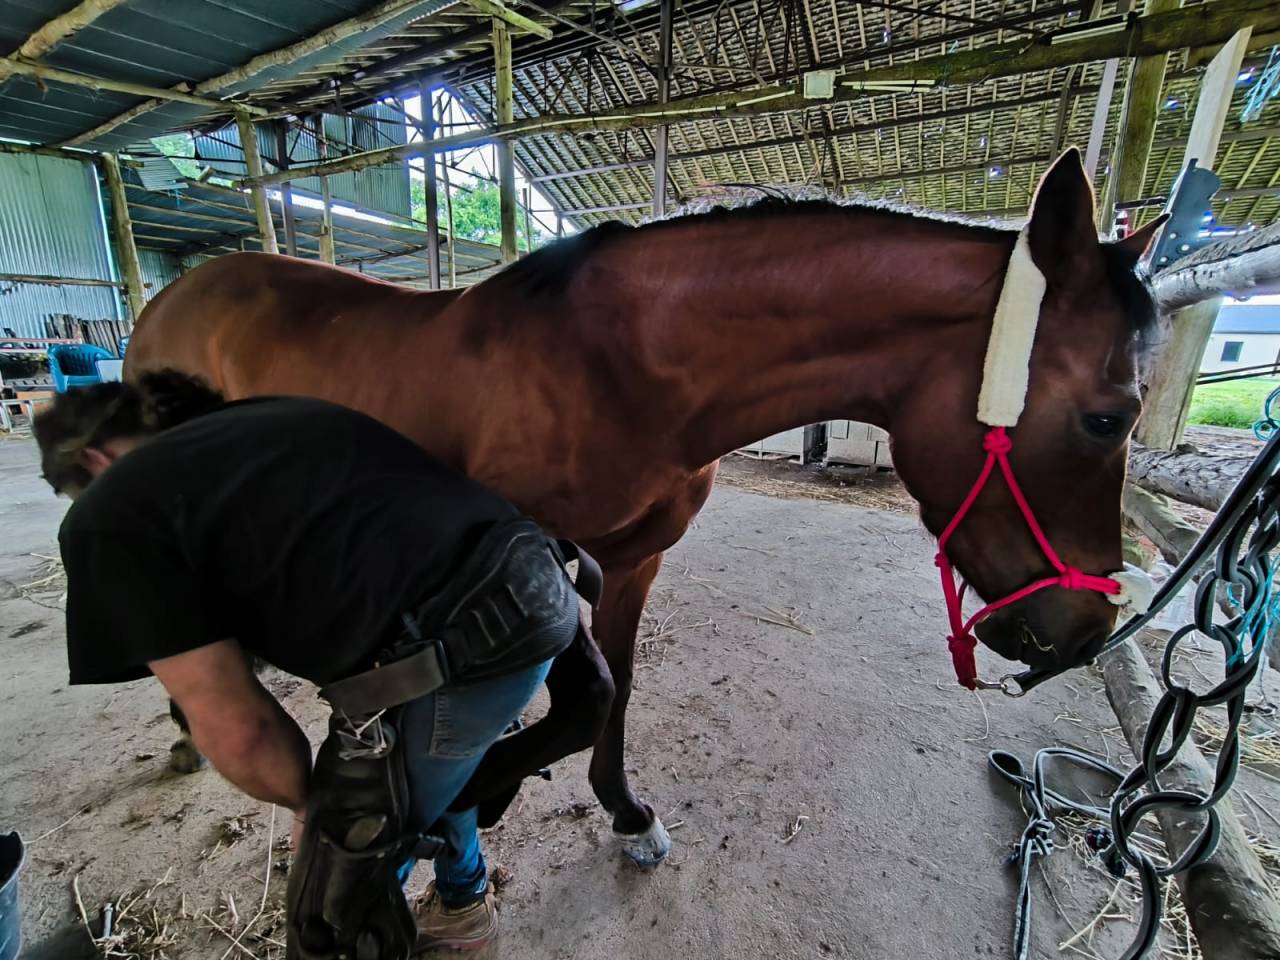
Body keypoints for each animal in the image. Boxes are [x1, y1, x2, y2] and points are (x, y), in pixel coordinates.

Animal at [124, 148, 1163, 864]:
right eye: (1109, 417)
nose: (1085, 631)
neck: (617, 367)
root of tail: (182, 287)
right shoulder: (524, 557)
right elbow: (583, 696)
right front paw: (476, 794)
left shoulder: (632, 560)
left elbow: (614, 689)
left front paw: (623, 814)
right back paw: (185, 726)